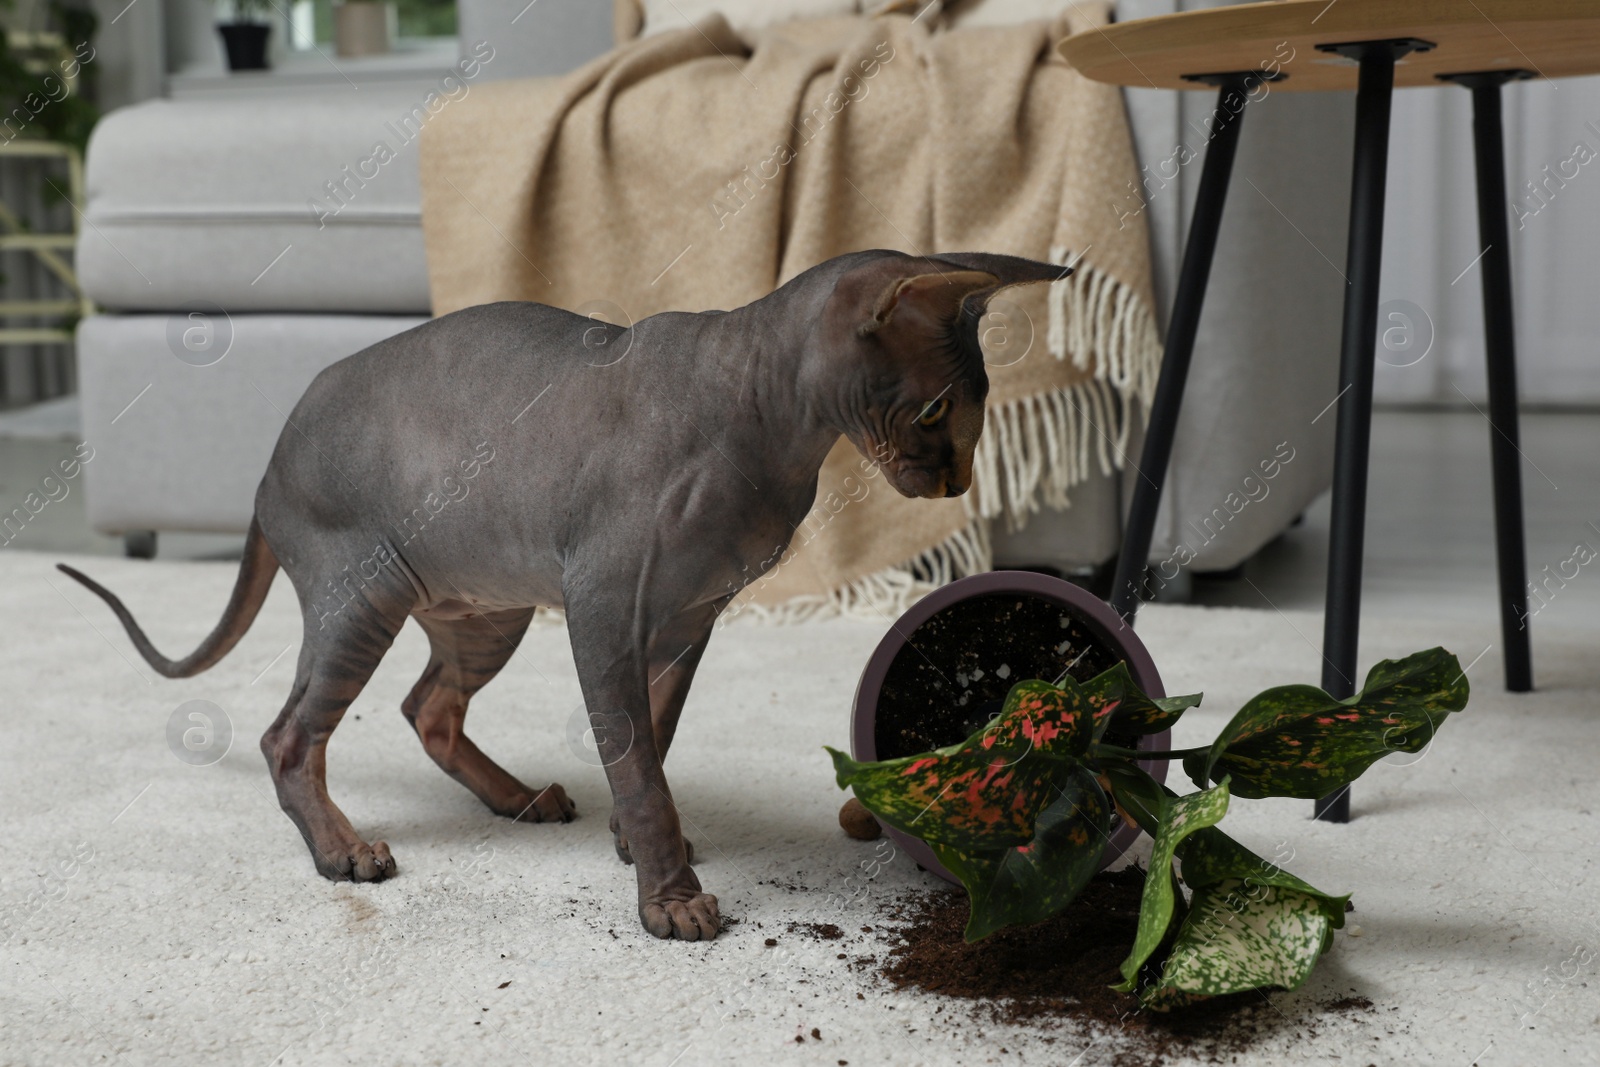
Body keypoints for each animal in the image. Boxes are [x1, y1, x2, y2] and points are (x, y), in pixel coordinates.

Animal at [62, 247, 1068, 940]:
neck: (773, 432)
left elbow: (653, 740)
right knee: (288, 735)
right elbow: (640, 764)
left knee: (428, 707)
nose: (956, 480)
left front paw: (636, 844)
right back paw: (343, 848)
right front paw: (670, 899)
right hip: (365, 593)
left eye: (977, 413)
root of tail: (269, 457)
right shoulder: (606, 609)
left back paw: (516, 797)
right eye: (937, 410)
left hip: (486, 608)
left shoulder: (689, 620)